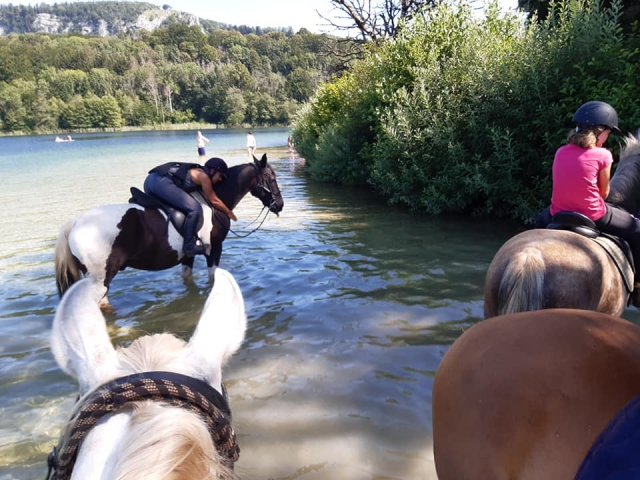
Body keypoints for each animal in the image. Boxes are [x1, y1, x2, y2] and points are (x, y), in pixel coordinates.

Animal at [55, 153, 283, 310]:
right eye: (271, 178)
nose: (280, 205)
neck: (214, 199)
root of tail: (75, 223)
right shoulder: (214, 249)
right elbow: (213, 277)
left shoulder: (188, 255)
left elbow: (188, 279)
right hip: (99, 281)